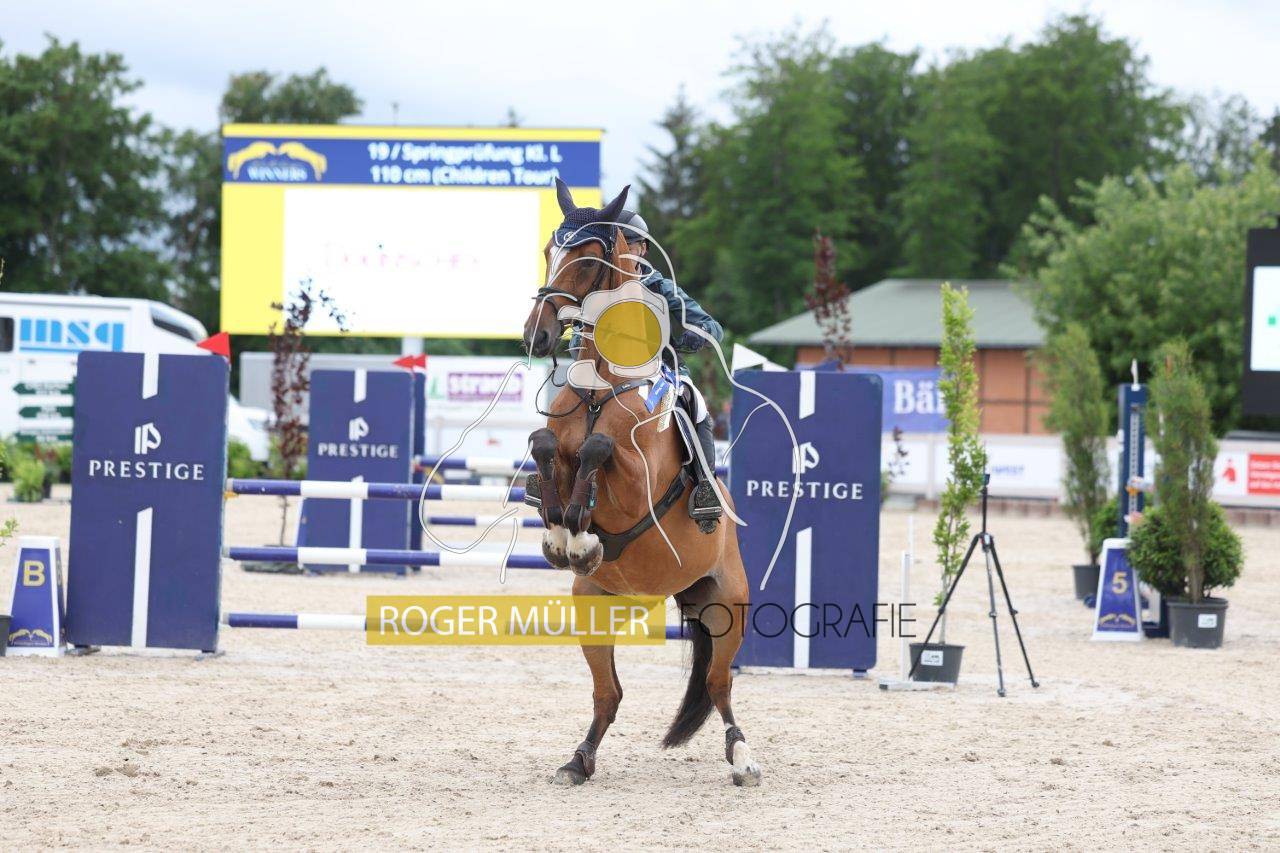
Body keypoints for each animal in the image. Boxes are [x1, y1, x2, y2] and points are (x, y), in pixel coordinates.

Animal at [521, 183, 762, 787]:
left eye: (587, 260)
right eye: (548, 252)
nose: (536, 335)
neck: (599, 387)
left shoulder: (636, 483)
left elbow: (600, 450)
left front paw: (577, 529)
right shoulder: (556, 446)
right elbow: (546, 444)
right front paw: (563, 535)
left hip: (726, 607)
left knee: (719, 685)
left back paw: (744, 759)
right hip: (597, 605)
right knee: (609, 694)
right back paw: (578, 760)